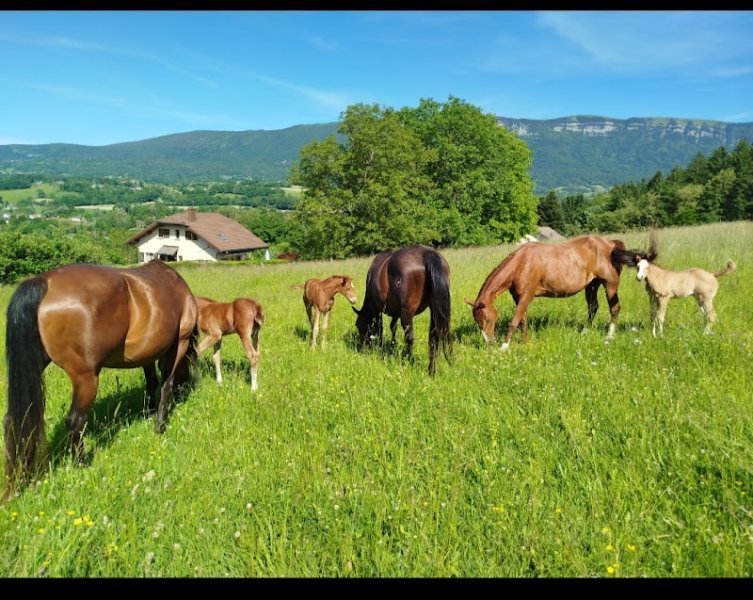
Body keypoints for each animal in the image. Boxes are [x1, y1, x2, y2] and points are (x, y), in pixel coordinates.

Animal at [2, 259, 198, 504]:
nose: (185, 389)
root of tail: (44, 281)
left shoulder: (147, 354)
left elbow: (151, 383)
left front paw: (149, 412)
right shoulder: (178, 343)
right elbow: (165, 386)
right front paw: (160, 425)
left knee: (13, 420)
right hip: (86, 378)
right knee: (75, 420)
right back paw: (81, 464)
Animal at [353, 245, 452, 376]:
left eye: (359, 326)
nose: (363, 346)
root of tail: (427, 253)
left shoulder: (377, 310)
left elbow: (380, 329)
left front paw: (381, 348)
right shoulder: (396, 312)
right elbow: (392, 327)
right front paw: (393, 345)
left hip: (407, 312)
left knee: (409, 338)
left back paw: (409, 359)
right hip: (433, 311)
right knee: (433, 338)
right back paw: (431, 370)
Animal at [465, 235, 643, 350]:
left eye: (487, 319)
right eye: (477, 320)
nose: (489, 342)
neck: (521, 264)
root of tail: (612, 244)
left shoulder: (526, 297)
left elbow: (514, 322)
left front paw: (504, 347)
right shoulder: (519, 298)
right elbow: (522, 321)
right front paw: (524, 342)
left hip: (610, 284)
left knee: (614, 308)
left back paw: (610, 335)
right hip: (592, 285)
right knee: (593, 307)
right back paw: (585, 331)